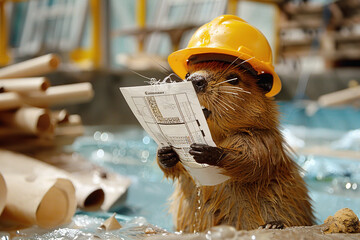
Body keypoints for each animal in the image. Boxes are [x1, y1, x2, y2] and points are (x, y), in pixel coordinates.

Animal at [156, 53, 314, 232]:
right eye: (187, 74)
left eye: (233, 78)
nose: (196, 80)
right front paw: (165, 153)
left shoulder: (264, 139)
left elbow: (253, 160)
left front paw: (205, 151)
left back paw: (273, 225)